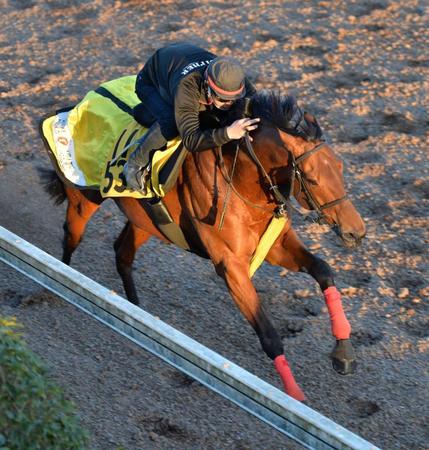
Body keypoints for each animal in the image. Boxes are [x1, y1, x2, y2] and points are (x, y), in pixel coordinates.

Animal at [40, 89, 364, 400]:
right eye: (312, 178)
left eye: (340, 167)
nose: (356, 232)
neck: (242, 180)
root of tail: (72, 106)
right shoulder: (230, 265)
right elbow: (270, 335)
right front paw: (295, 398)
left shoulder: (275, 246)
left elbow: (323, 270)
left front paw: (343, 352)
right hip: (83, 201)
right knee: (70, 240)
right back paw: (59, 284)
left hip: (147, 222)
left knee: (122, 253)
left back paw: (138, 312)